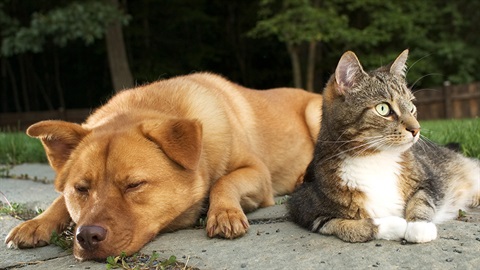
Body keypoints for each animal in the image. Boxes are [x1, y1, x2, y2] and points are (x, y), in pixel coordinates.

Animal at [4, 73, 322, 260]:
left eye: (134, 185)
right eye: (81, 189)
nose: (86, 237)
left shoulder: (258, 174)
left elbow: (224, 180)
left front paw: (224, 212)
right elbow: (59, 201)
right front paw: (37, 223)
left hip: (314, 114)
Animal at [288, 49, 480, 244]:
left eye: (411, 107)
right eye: (383, 109)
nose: (416, 129)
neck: (376, 158)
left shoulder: (428, 179)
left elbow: (422, 199)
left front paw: (419, 226)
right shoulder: (304, 205)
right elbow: (347, 225)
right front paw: (396, 224)